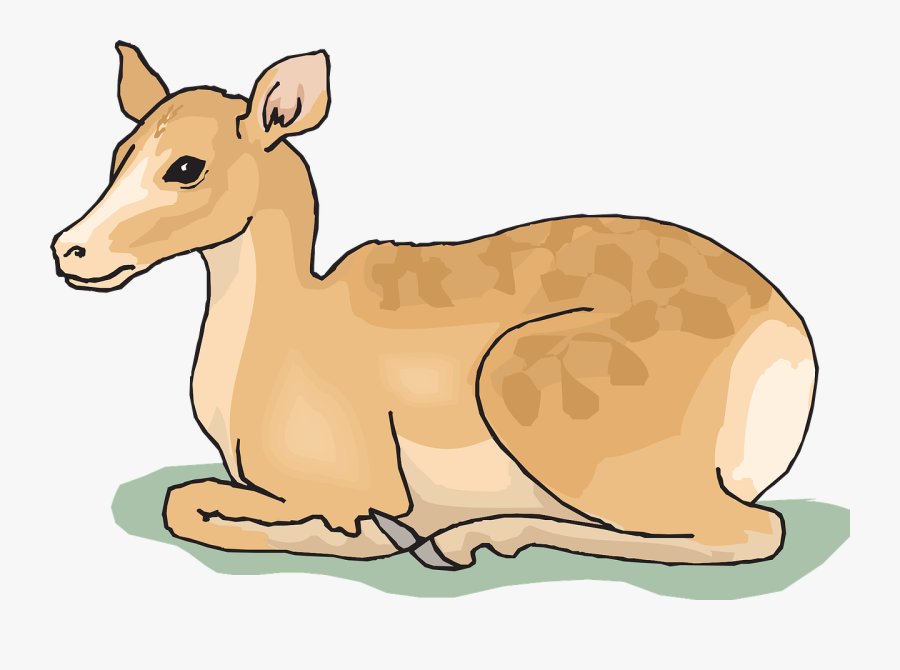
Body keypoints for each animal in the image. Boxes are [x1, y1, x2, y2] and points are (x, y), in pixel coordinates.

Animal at [51, 43, 817, 570]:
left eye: (186, 166)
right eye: (120, 152)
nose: (70, 250)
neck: (282, 335)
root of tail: (785, 340)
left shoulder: (348, 484)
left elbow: (198, 506)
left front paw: (371, 536)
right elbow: (183, 500)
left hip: (538, 394)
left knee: (755, 530)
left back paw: (469, 539)